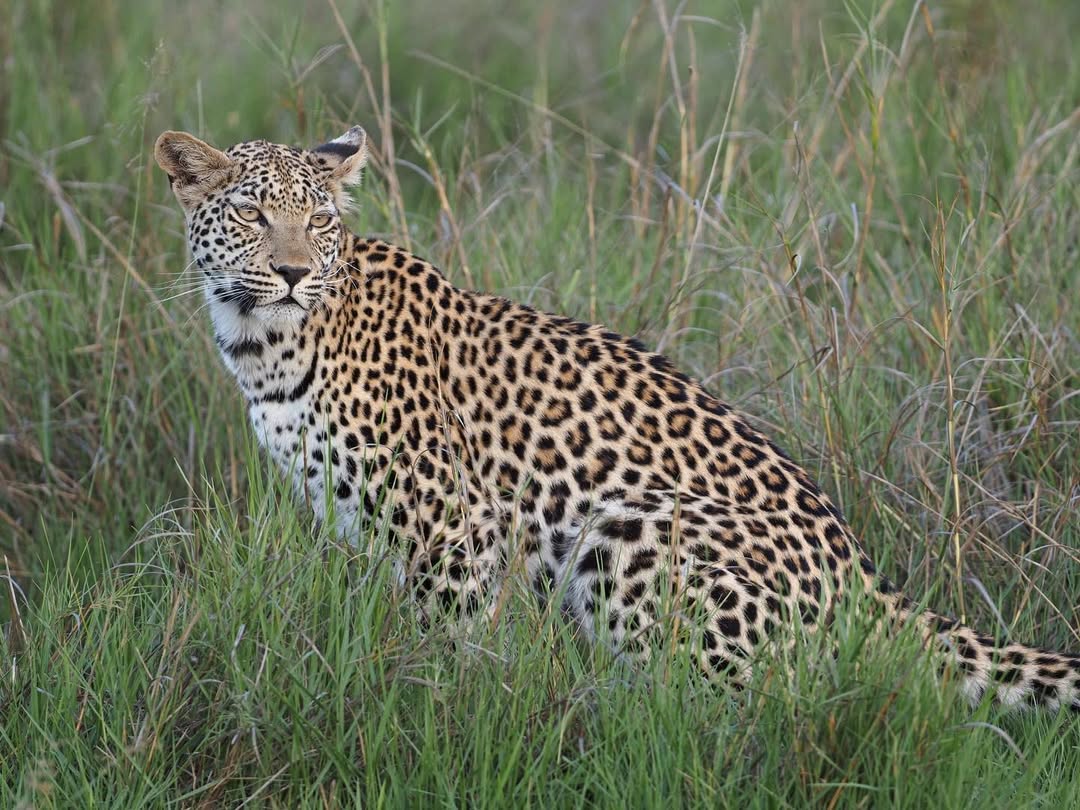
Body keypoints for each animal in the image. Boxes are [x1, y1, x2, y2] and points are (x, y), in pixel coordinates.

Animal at [155, 125, 1080, 712]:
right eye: (251, 214)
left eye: (318, 220)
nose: (290, 272)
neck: (266, 341)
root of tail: (868, 584)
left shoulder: (455, 526)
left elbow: (451, 650)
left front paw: (444, 712)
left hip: (632, 525)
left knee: (739, 710)